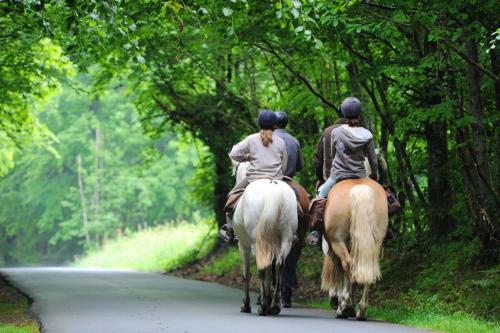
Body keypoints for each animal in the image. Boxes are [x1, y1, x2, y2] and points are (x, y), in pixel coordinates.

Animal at [230, 162, 296, 316]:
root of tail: (273, 189)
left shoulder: (243, 246)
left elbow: (246, 274)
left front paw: (246, 304)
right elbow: (270, 272)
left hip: (257, 243)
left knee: (262, 268)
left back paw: (264, 306)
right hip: (286, 239)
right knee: (279, 265)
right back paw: (275, 305)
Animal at [320, 179, 386, 320]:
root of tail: (360, 188)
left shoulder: (332, 250)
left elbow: (339, 273)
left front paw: (341, 305)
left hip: (337, 242)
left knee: (347, 264)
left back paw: (345, 304)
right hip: (375, 243)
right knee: (367, 268)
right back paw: (361, 310)